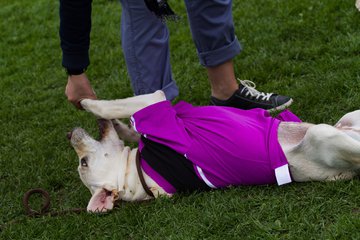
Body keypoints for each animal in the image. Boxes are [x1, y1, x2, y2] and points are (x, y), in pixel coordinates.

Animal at [68, 91, 360, 213]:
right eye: (84, 162)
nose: (70, 135)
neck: (140, 173)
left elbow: (130, 125)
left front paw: (117, 125)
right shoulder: (156, 104)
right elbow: (120, 104)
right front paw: (88, 102)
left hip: (348, 118)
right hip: (323, 135)